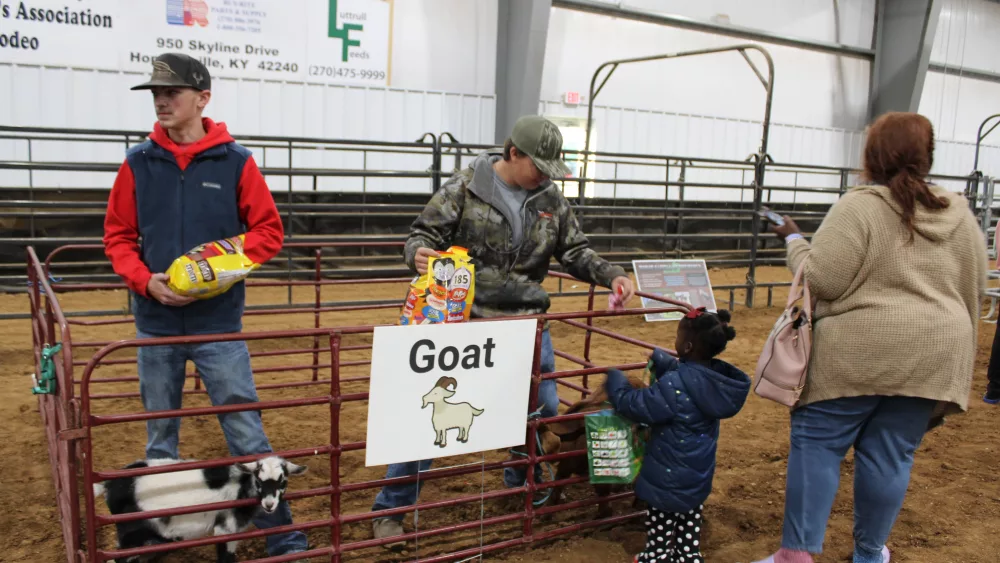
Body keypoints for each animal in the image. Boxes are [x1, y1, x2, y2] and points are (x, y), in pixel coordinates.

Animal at [93, 456, 304, 560]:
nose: (269, 504)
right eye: (259, 481)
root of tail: (109, 485)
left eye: (282, 481)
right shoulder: (226, 528)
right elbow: (226, 557)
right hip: (131, 530)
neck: (241, 486)